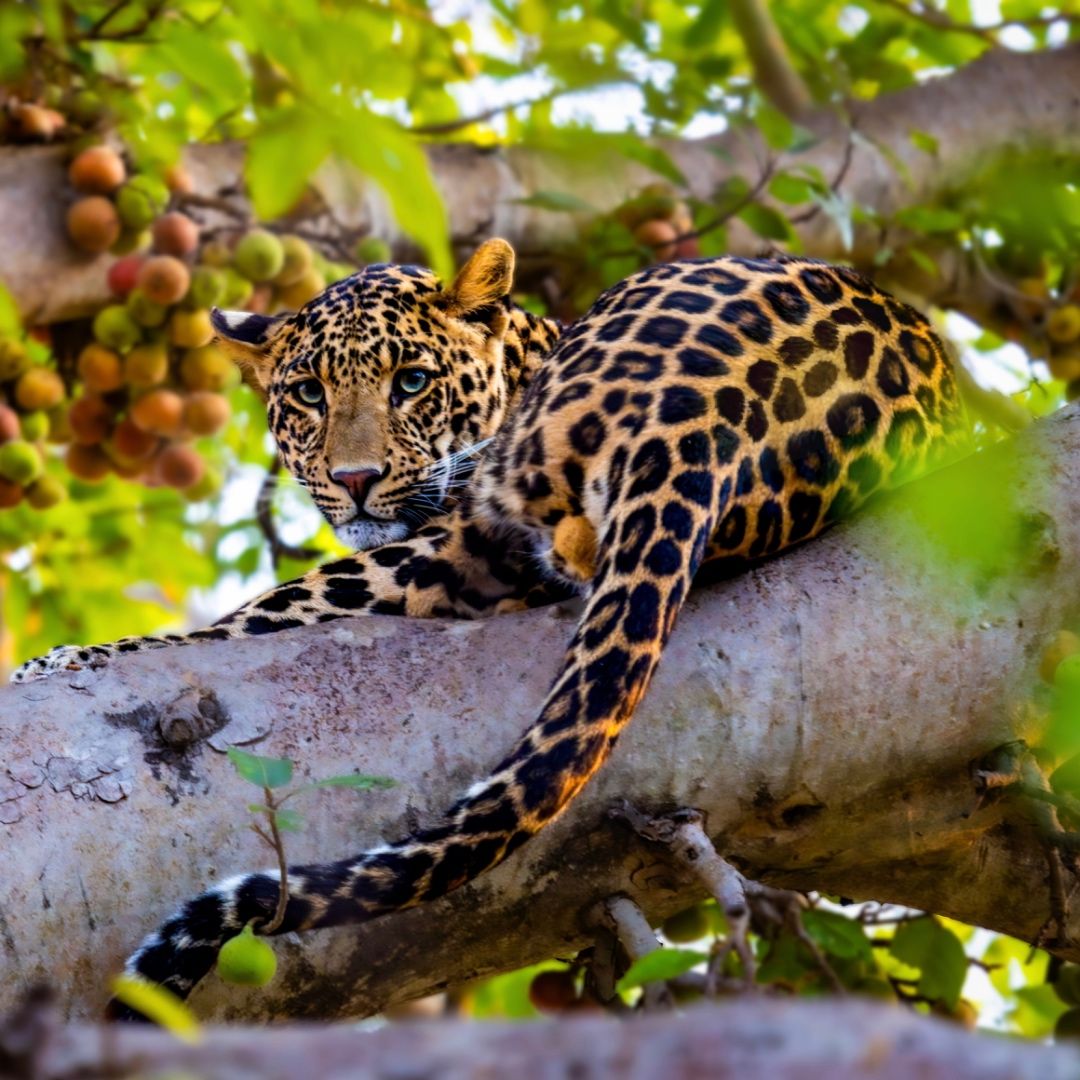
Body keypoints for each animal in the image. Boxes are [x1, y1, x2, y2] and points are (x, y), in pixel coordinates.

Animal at [11, 238, 967, 1019]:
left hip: (471, 528)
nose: (354, 480)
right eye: (309, 395)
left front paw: (57, 663)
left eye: (412, 382)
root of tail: (703, 418)